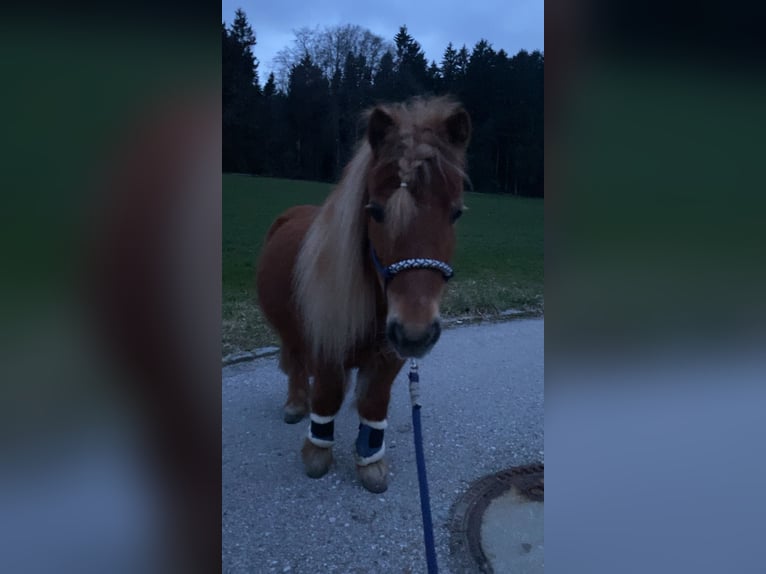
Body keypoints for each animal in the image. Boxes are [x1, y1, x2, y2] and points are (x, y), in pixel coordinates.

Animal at [256, 97, 471, 493]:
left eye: (456, 214)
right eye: (376, 211)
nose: (416, 332)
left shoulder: (391, 354)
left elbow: (373, 401)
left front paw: (370, 461)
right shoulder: (325, 343)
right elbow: (327, 395)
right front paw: (317, 453)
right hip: (290, 330)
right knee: (294, 360)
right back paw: (296, 403)